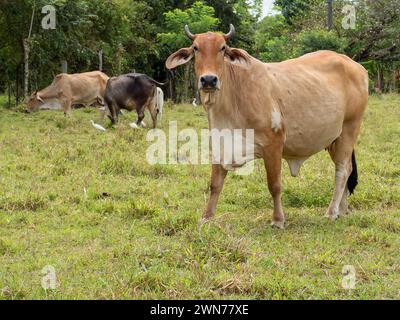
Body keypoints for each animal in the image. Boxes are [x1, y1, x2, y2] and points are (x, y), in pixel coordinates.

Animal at [166, 25, 368, 230]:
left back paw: (331, 212)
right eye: (195, 47)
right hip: (334, 139)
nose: (208, 80)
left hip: (349, 129)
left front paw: (278, 219)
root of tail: (355, 65)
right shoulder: (219, 144)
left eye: (223, 48)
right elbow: (215, 185)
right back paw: (342, 210)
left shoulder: (274, 144)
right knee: (346, 169)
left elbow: (274, 185)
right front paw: (207, 218)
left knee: (342, 170)